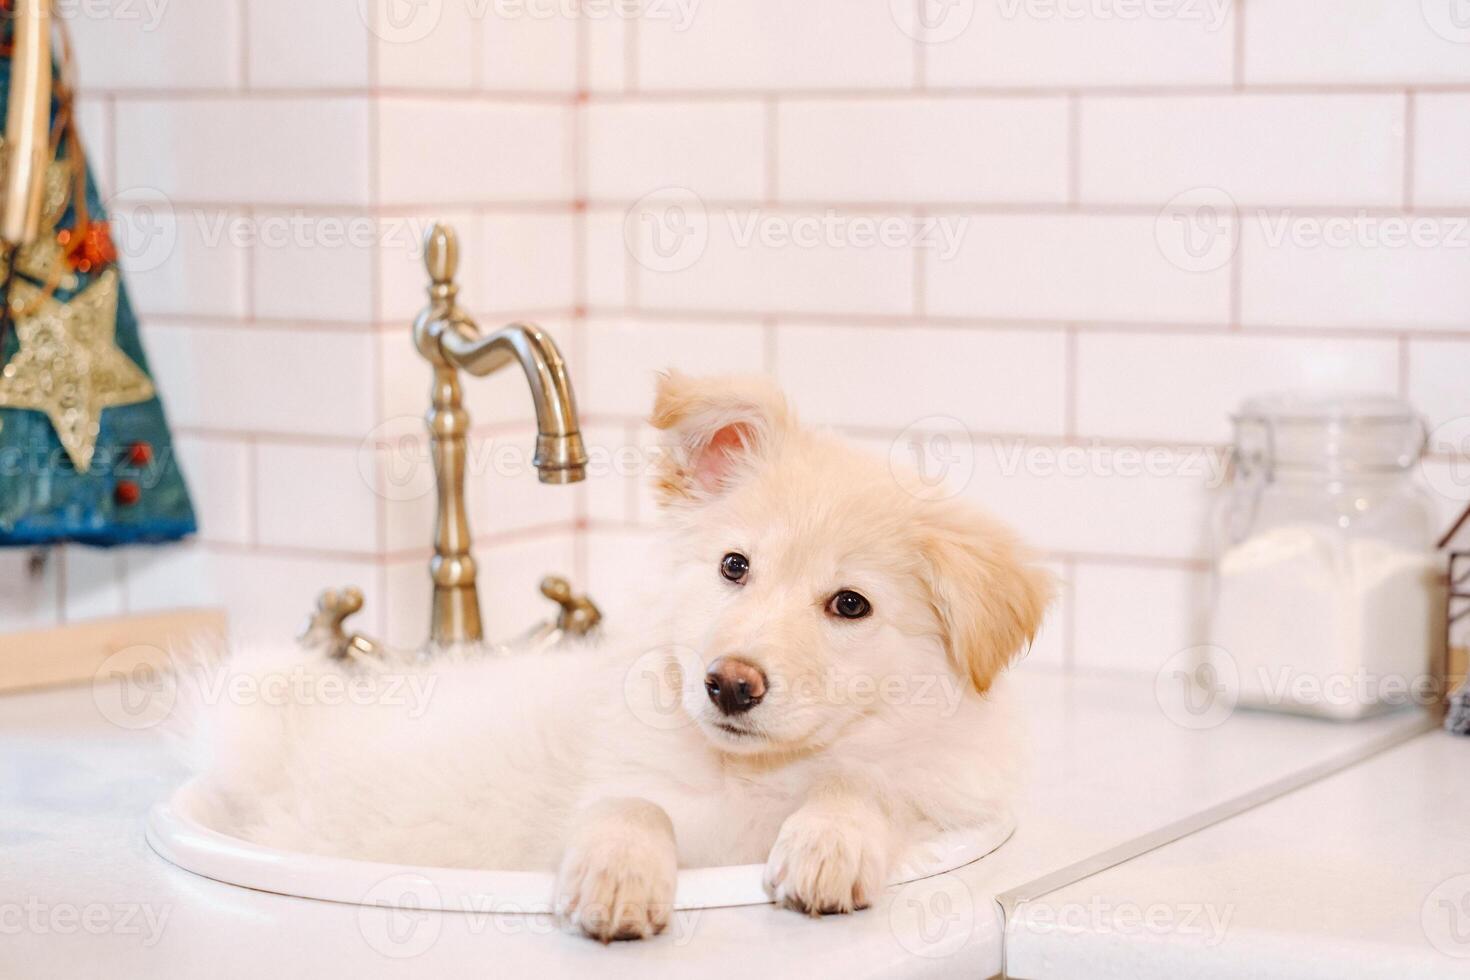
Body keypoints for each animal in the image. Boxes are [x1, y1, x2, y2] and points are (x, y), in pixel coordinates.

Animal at [189, 373, 1052, 940]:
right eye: (734, 566)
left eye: (850, 605)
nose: (728, 686)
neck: (752, 778)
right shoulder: (620, 776)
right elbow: (630, 805)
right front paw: (617, 876)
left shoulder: (936, 786)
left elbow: (863, 785)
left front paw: (825, 841)